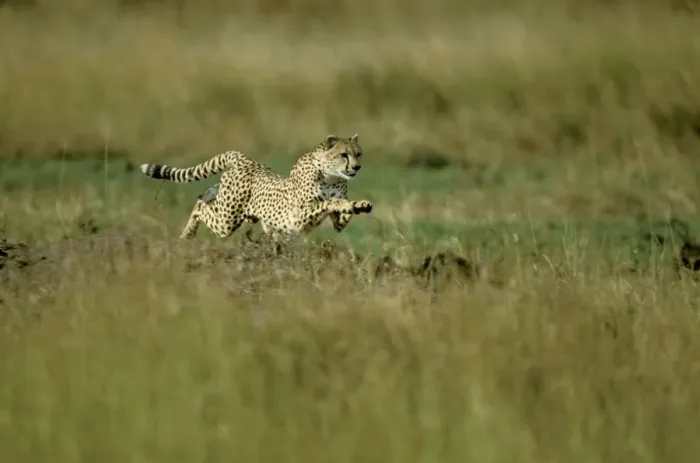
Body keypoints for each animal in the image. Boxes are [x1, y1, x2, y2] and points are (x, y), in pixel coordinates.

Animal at [139, 134, 373, 240]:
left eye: (359, 153)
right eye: (344, 155)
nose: (357, 167)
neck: (330, 175)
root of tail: (244, 158)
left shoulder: (336, 223)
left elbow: (342, 214)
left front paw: (360, 204)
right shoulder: (298, 216)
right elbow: (330, 201)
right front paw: (343, 203)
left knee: (205, 196)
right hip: (227, 221)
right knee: (199, 207)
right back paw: (187, 235)